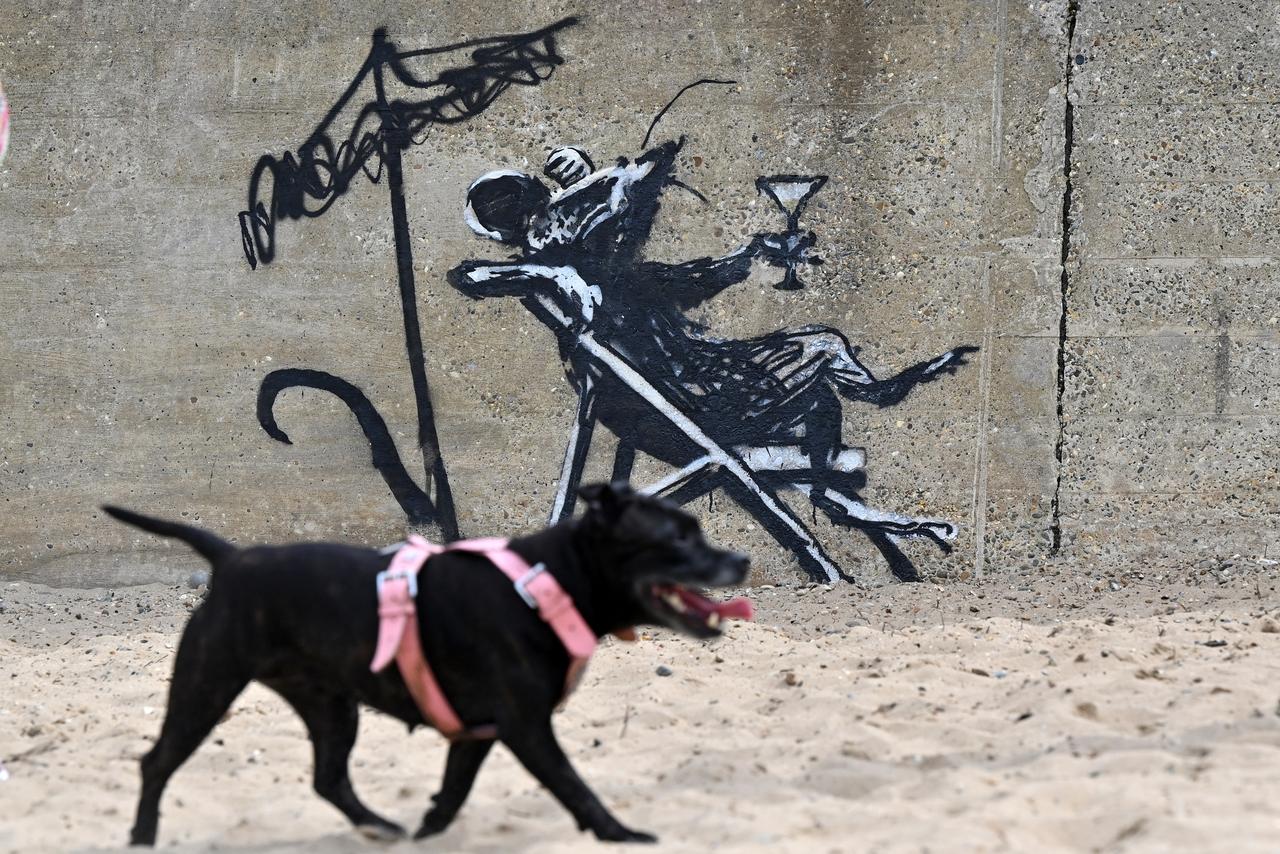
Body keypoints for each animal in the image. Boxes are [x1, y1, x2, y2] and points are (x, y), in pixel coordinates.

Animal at [110, 483, 752, 845]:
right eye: (678, 538)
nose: (742, 559)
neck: (547, 581)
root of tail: (232, 559)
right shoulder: (527, 729)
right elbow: (579, 789)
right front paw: (622, 834)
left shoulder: (475, 735)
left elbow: (450, 800)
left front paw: (427, 833)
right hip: (205, 687)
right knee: (154, 763)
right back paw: (141, 836)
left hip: (331, 706)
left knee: (329, 778)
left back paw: (379, 826)